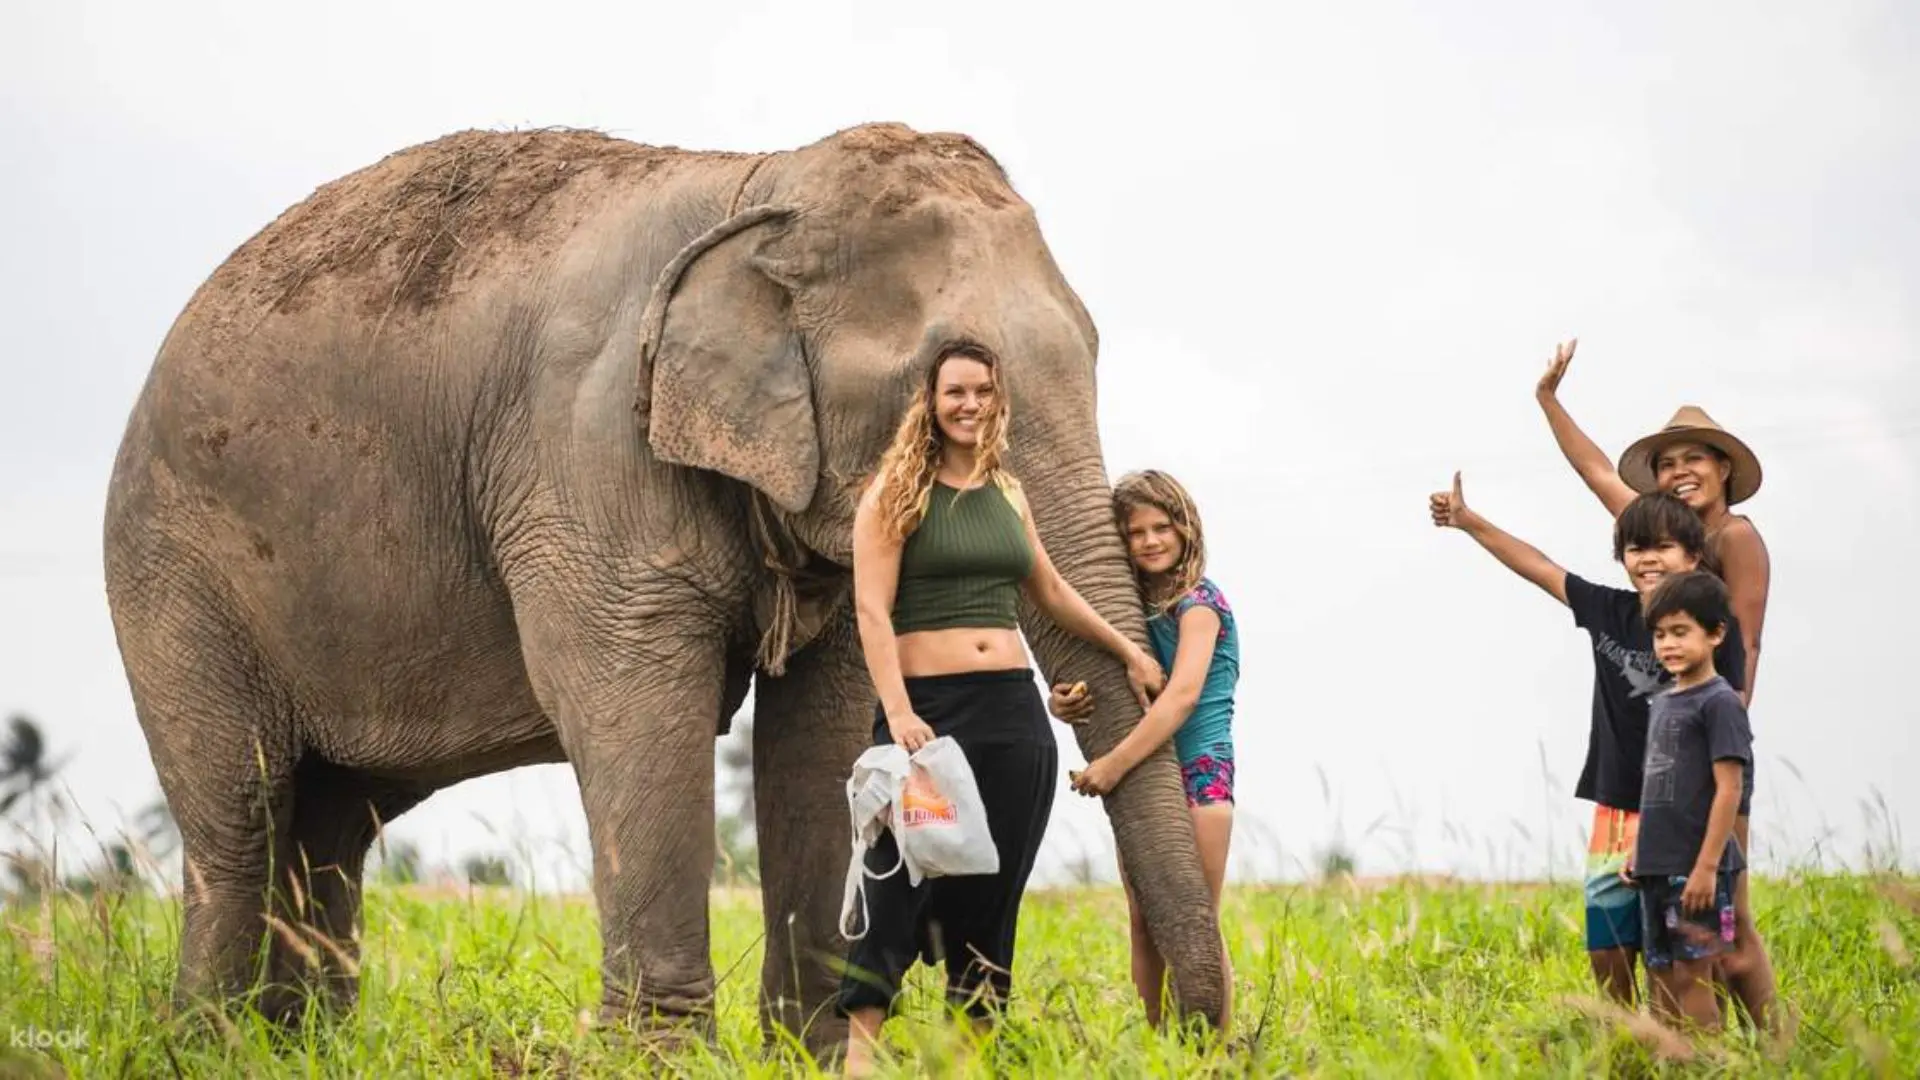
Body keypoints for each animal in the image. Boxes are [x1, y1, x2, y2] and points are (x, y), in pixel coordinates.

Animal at [101, 121, 1226, 1048]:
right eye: (952, 382)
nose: (1190, 1037)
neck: (760, 183)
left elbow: (821, 723)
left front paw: (811, 1052)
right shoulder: (588, 449)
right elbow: (631, 701)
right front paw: (671, 1058)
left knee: (334, 826)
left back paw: (304, 1044)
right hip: (170, 575)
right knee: (243, 813)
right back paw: (211, 1045)